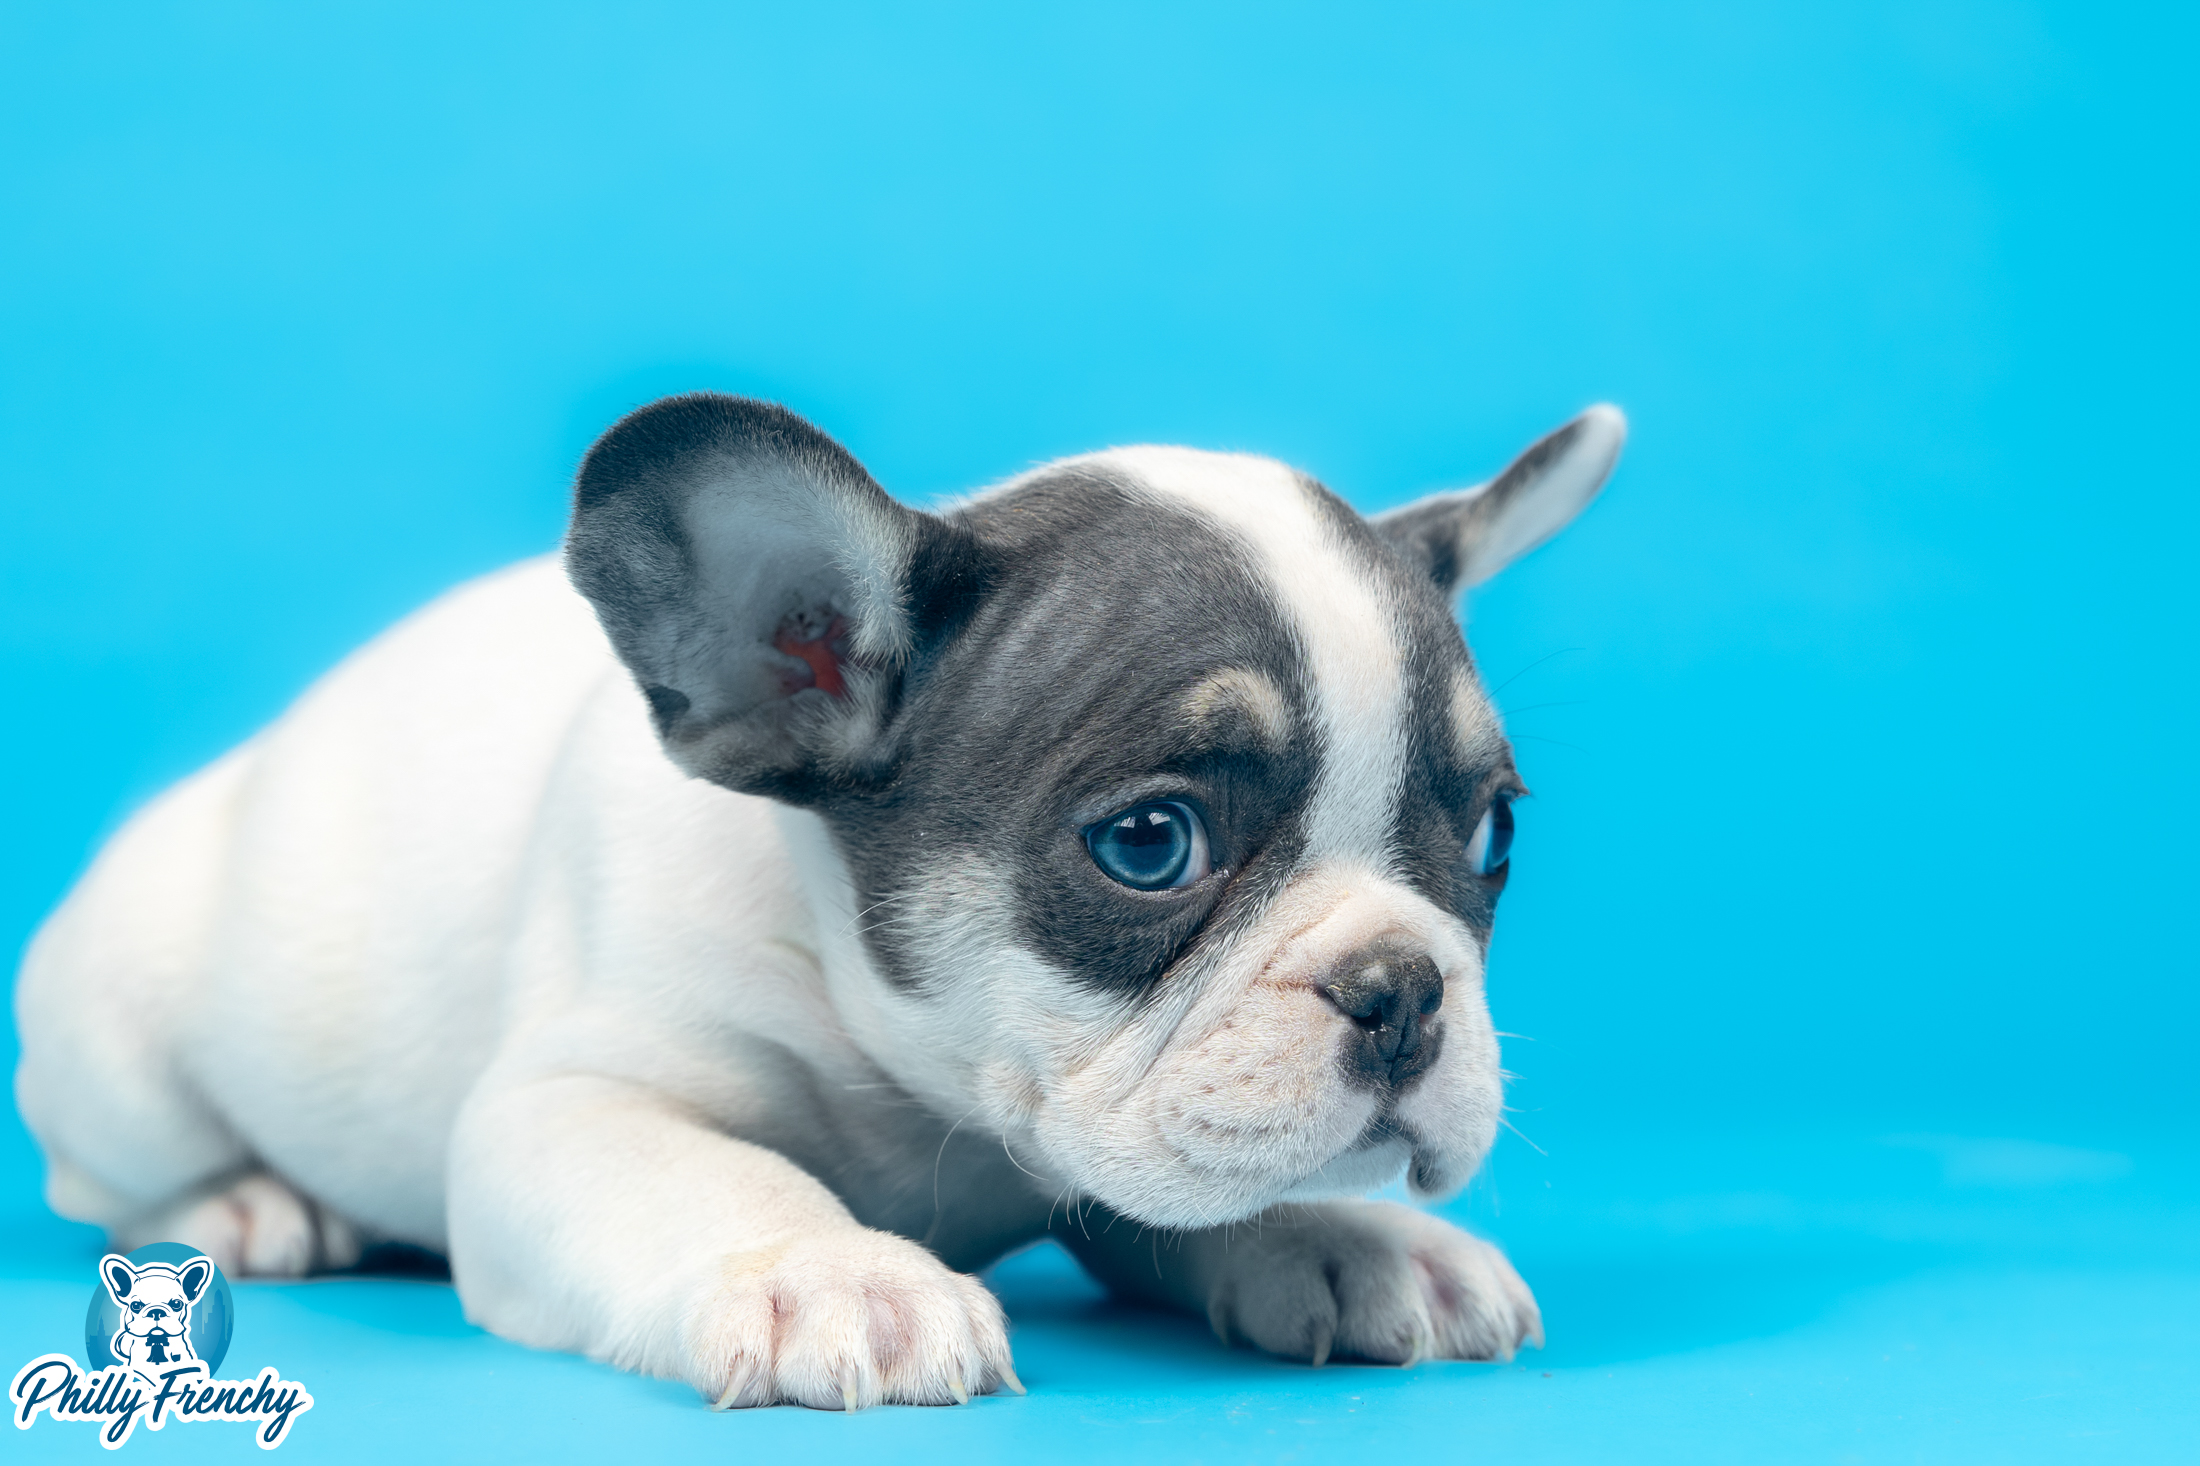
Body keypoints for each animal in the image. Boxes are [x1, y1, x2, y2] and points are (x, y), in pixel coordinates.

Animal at [17, 387, 1619, 1408]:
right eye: (1151, 842)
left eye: (1491, 834)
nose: (1402, 988)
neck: (930, 1085)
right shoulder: (570, 1100)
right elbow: (712, 1174)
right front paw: (832, 1271)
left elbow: (1193, 1189)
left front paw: (1351, 1238)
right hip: (121, 1049)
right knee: (103, 1178)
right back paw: (245, 1203)